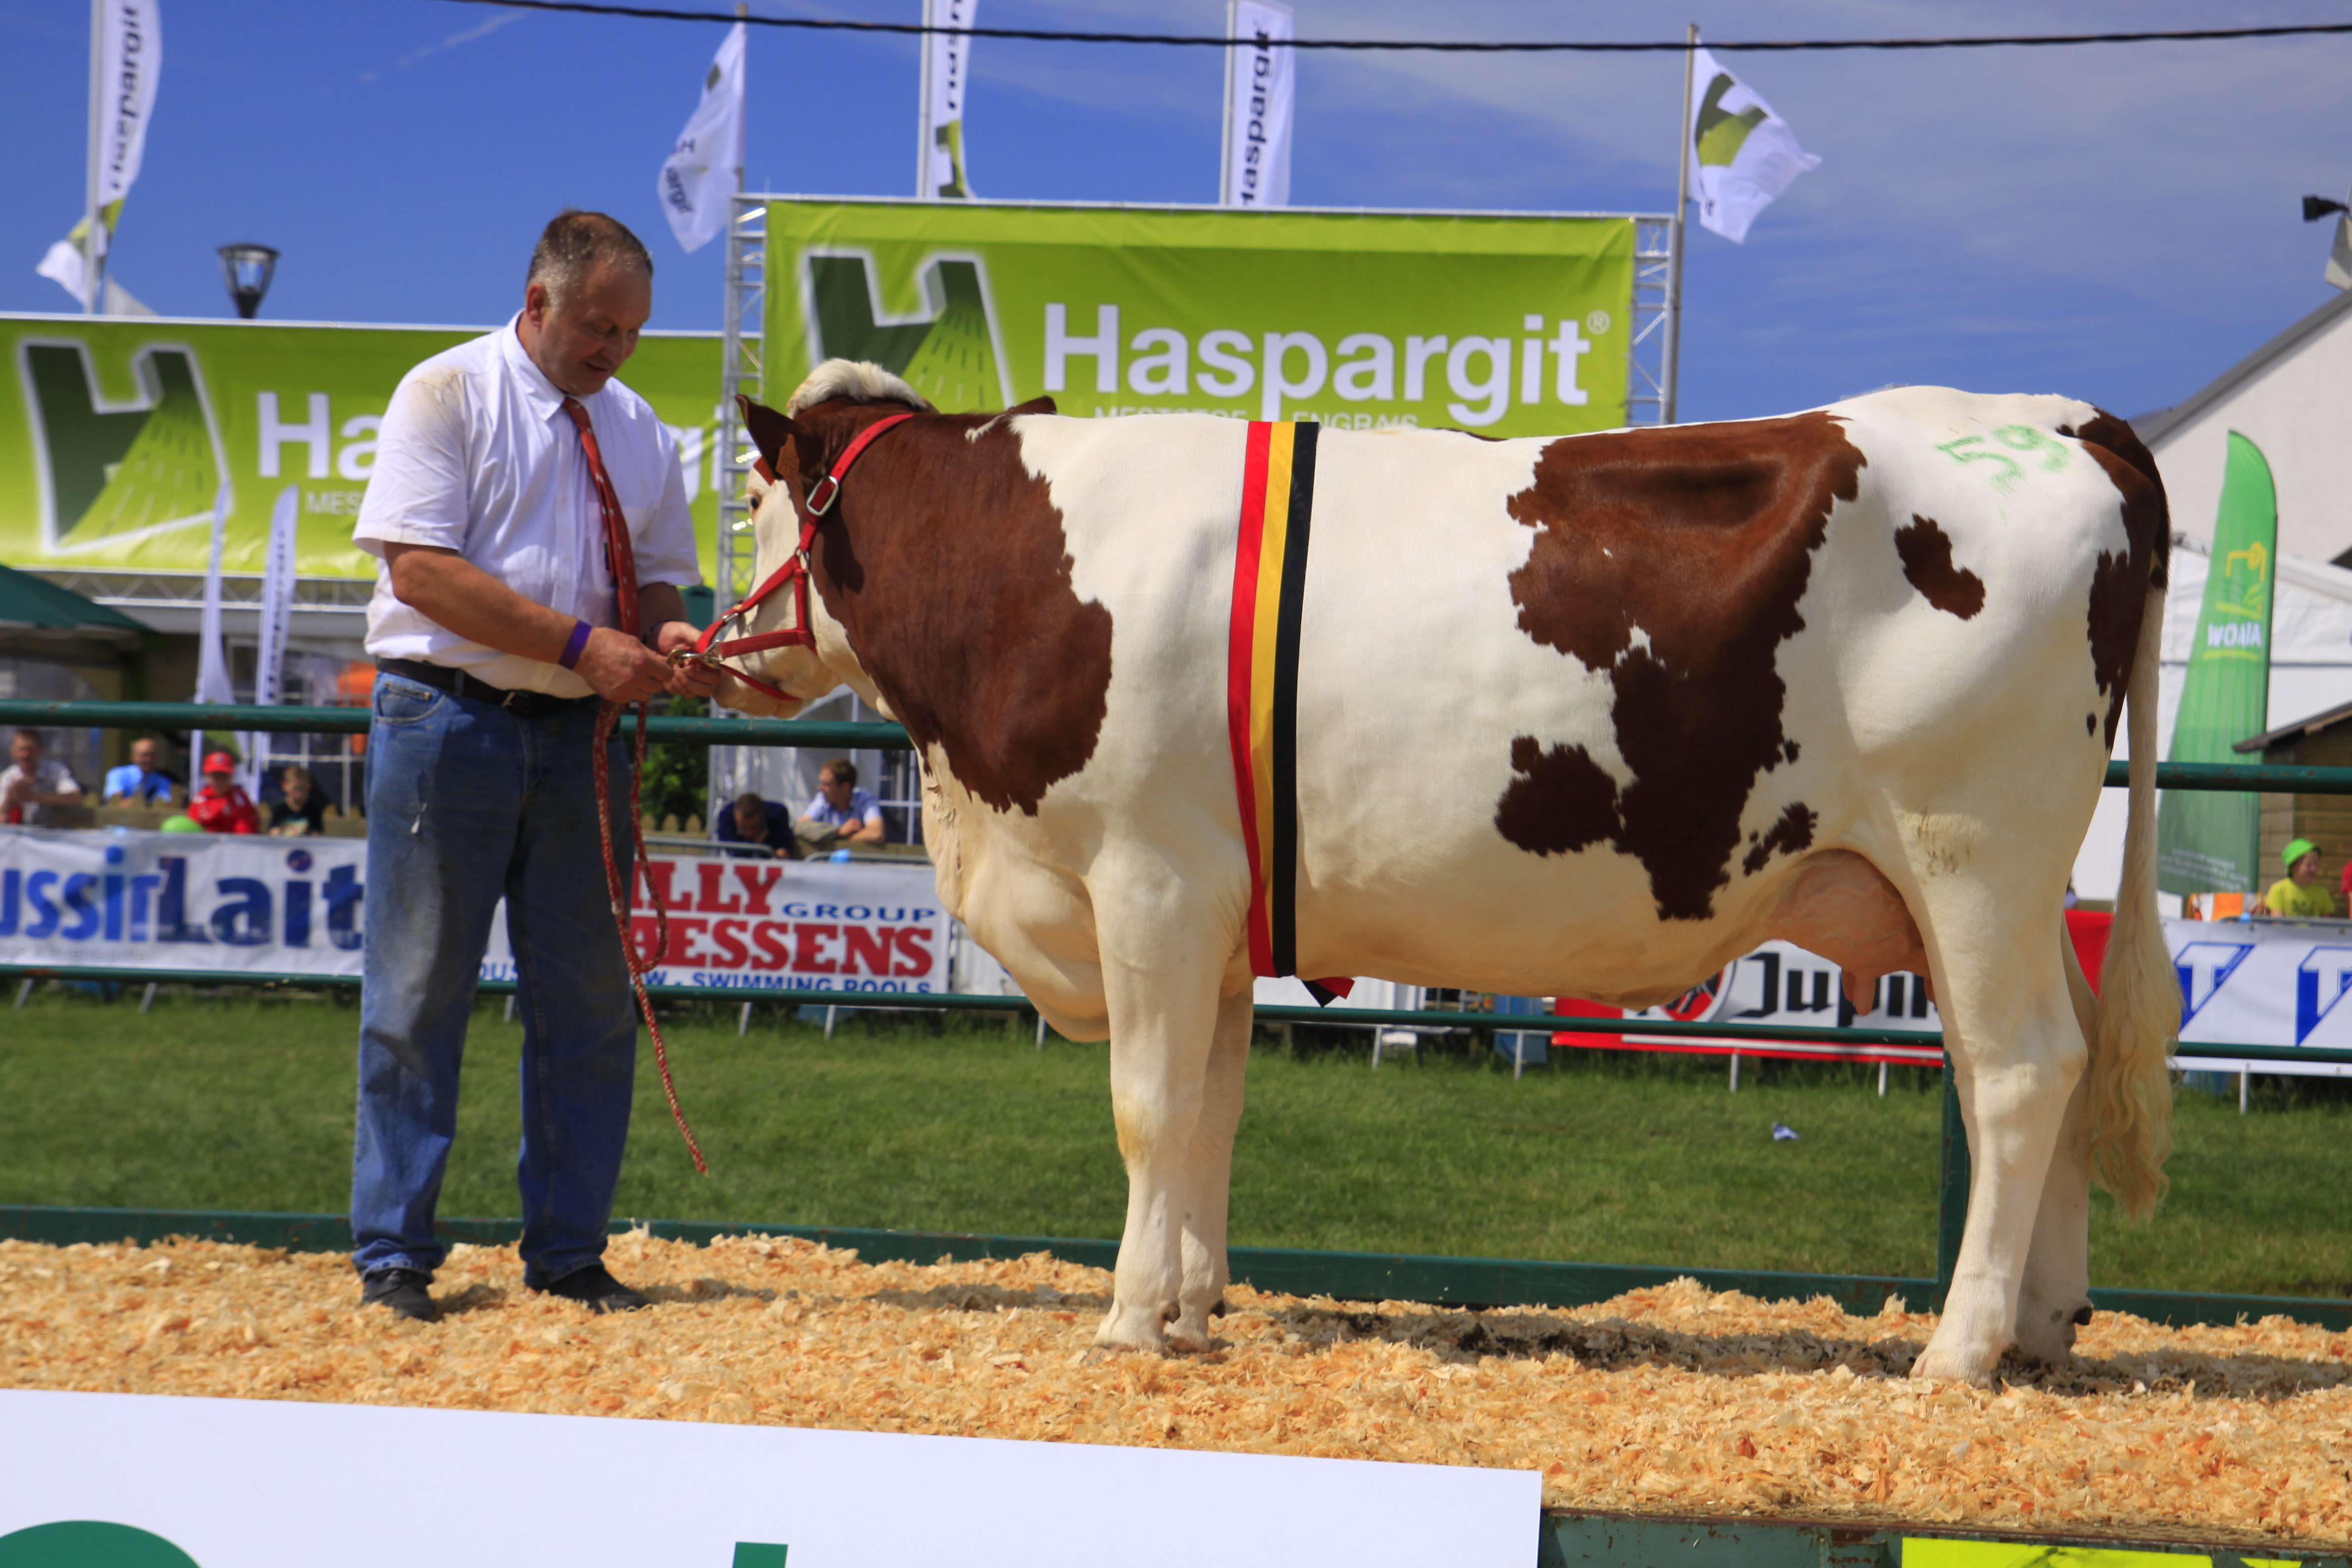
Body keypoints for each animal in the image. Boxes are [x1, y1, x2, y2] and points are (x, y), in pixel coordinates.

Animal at [712, 359, 2177, 1385]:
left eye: (752, 494)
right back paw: (2043, 1325)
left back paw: (1957, 1350)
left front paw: (1129, 1319)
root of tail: (2052, 420)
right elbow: (1209, 1111)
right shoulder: (1223, 910)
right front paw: (1192, 1303)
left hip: (1968, 848)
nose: (712, 650)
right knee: (2047, 1057)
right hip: (1993, 885)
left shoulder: (1149, 875)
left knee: (2018, 1071)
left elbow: (1145, 1105)